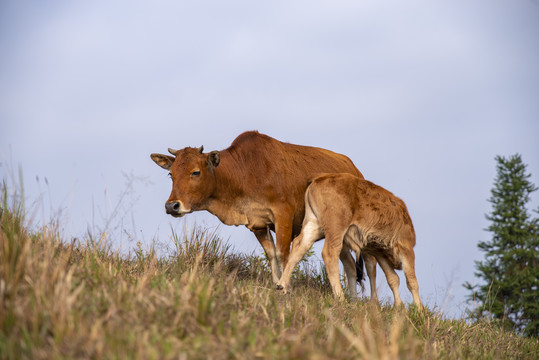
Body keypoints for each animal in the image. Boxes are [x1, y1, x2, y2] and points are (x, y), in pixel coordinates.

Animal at [152, 131, 370, 288]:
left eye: (195, 172)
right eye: (171, 174)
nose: (172, 205)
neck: (245, 172)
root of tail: (356, 171)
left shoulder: (283, 217)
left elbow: (284, 255)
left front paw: (285, 287)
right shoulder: (257, 224)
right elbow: (271, 255)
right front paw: (276, 284)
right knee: (350, 266)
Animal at [278, 173, 422, 308]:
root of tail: (319, 179)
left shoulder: (379, 252)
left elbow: (393, 278)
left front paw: (399, 307)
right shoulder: (406, 248)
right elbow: (412, 281)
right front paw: (419, 309)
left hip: (313, 224)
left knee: (299, 246)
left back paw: (282, 286)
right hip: (335, 228)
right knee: (330, 253)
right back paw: (340, 297)